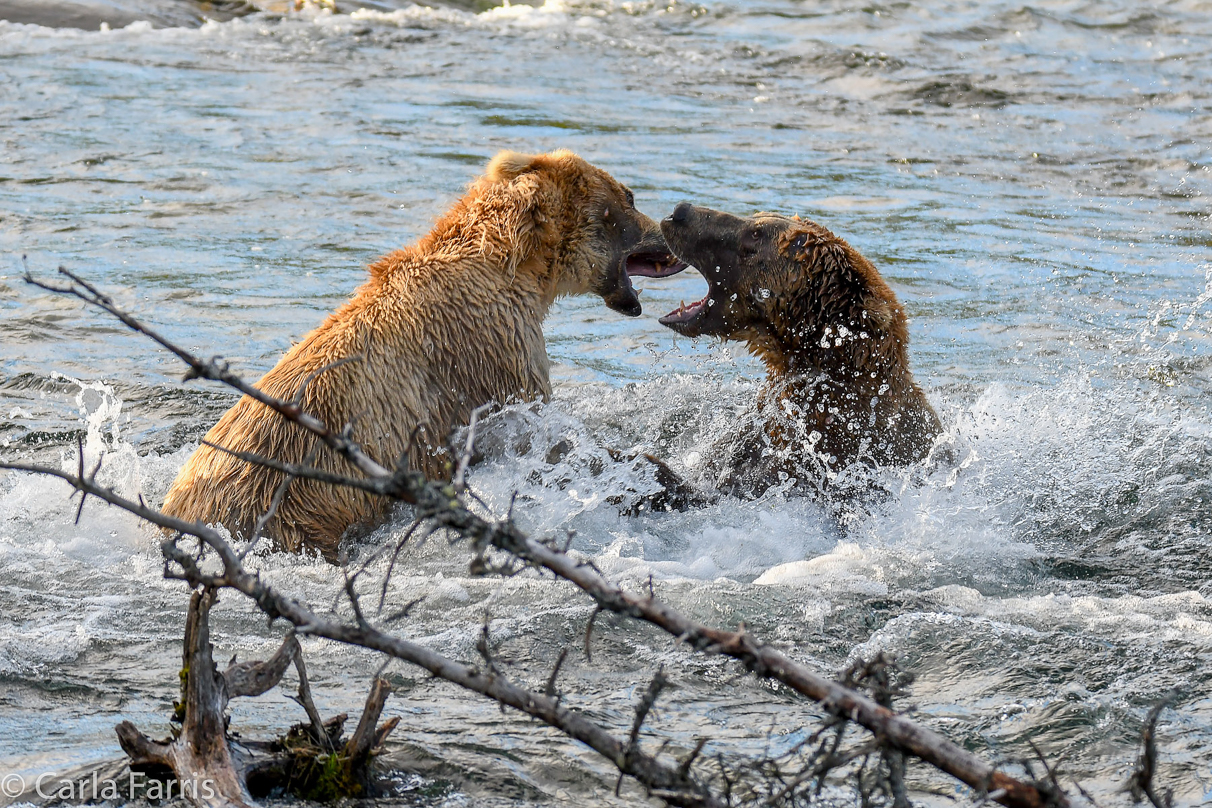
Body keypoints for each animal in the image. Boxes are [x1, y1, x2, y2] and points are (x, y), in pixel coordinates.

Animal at [163, 148, 683, 559]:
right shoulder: (488, 354)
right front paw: (662, 481)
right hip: (294, 508)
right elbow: (539, 440)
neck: (519, 268)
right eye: (629, 197)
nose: (669, 232)